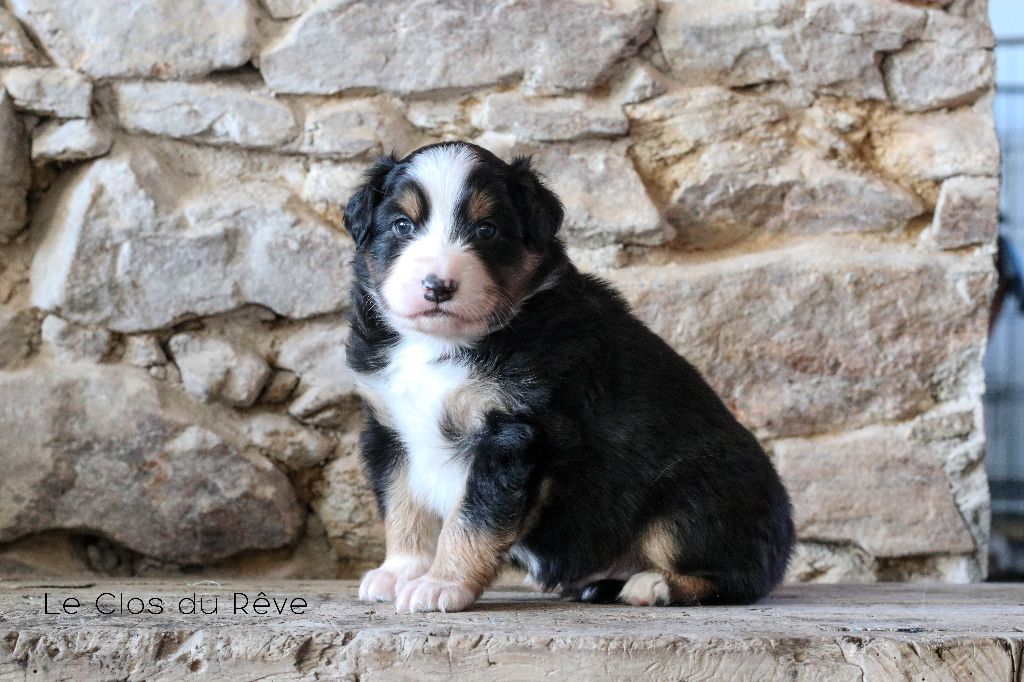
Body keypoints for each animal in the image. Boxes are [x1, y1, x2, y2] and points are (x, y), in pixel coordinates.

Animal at [343, 141, 794, 613]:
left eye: (486, 230)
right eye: (402, 224)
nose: (437, 286)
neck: (442, 344)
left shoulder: (511, 434)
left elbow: (472, 519)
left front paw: (441, 584)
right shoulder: (388, 428)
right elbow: (403, 509)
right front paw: (399, 572)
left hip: (691, 498)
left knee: (735, 578)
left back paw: (650, 584)